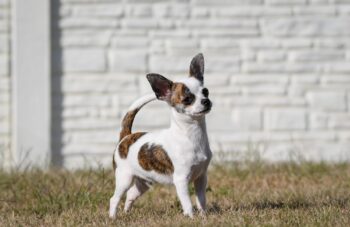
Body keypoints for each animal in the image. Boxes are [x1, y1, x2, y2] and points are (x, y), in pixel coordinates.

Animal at [108, 52, 213, 218]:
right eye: (187, 99)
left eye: (206, 92)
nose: (206, 101)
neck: (192, 134)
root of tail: (126, 136)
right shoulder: (181, 180)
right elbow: (188, 203)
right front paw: (191, 217)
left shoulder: (201, 178)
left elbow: (201, 200)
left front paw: (203, 217)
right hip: (124, 178)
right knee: (114, 198)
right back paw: (113, 217)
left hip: (143, 182)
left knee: (130, 195)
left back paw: (127, 212)